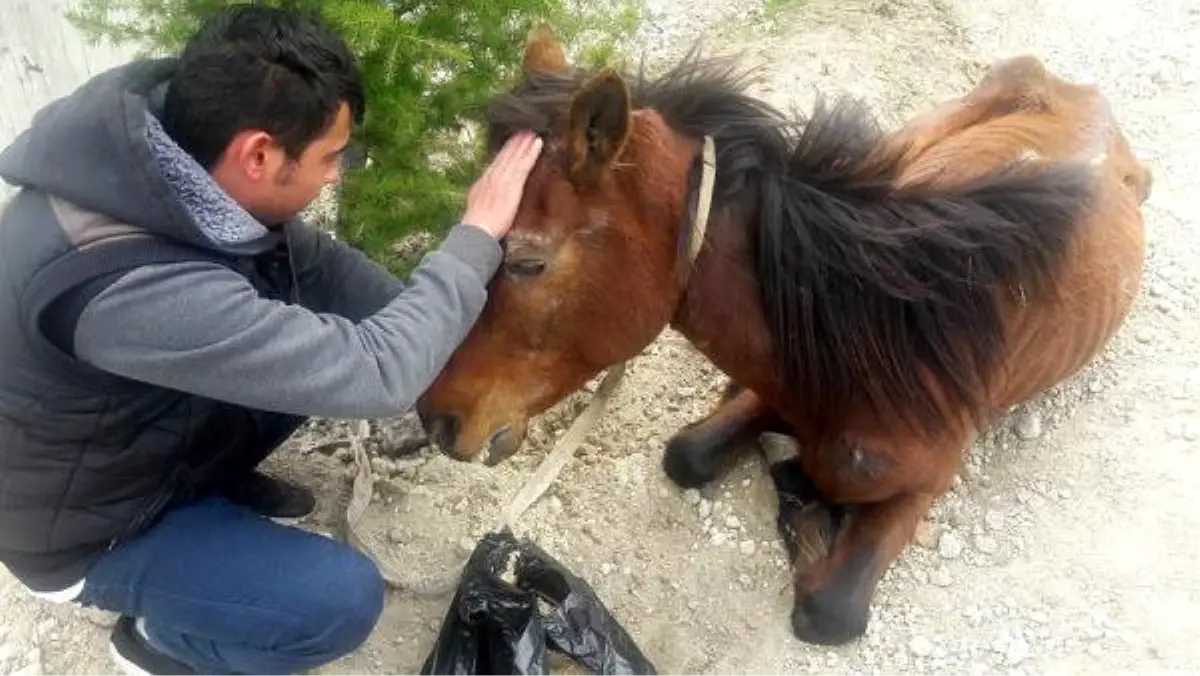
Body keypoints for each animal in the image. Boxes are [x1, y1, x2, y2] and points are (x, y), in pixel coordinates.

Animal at [415, 27, 1152, 643]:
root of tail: (1085, 96)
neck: (878, 341)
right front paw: (791, 482)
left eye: (528, 262)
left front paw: (805, 511)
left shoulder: (927, 483)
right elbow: (689, 454)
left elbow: (829, 610)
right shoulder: (774, 389)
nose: (435, 417)